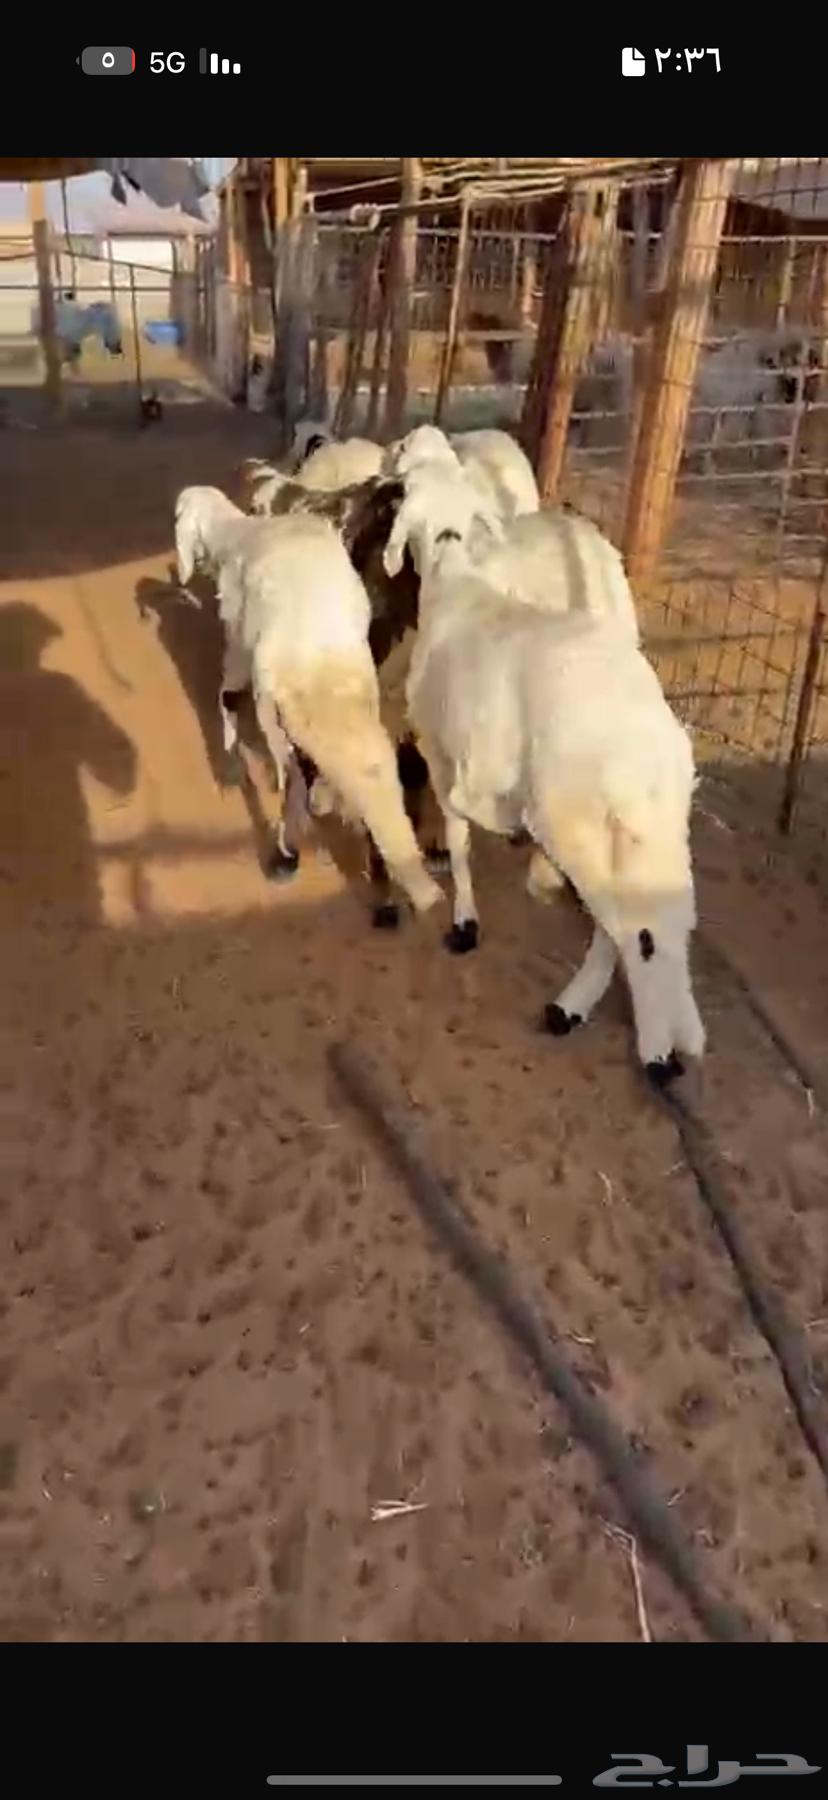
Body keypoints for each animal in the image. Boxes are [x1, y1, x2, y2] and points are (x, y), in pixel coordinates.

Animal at [389, 470, 704, 1084]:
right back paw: (656, 1023)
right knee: (664, 921)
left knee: (630, 928)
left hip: (571, 819)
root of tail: (644, 744)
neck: (456, 576)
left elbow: (459, 839)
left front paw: (464, 920)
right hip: (653, 828)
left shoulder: (441, 755)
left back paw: (647, 1045)